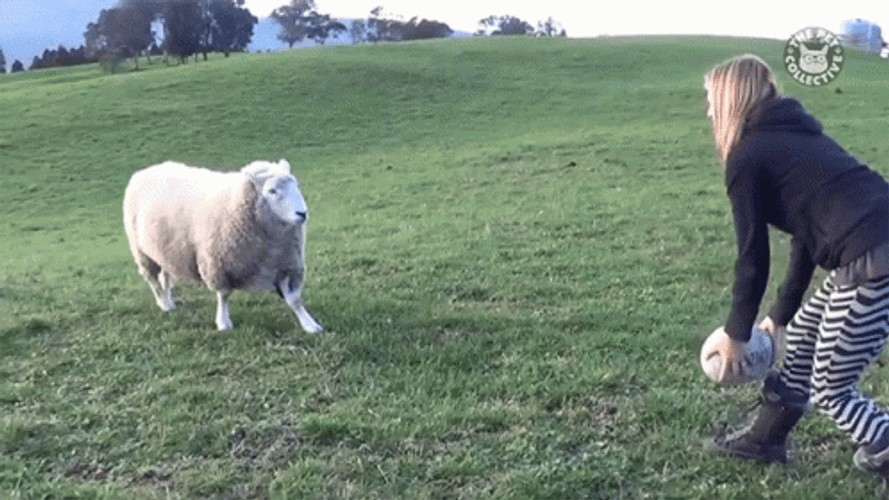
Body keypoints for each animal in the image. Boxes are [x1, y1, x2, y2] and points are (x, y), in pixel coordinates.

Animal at [123, 159, 322, 332]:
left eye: (295, 185)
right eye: (272, 191)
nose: (302, 213)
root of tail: (144, 171)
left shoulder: (287, 263)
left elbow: (294, 300)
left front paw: (310, 325)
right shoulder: (218, 263)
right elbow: (223, 296)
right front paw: (223, 323)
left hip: (164, 251)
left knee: (164, 277)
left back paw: (169, 301)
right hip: (142, 252)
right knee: (153, 280)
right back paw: (164, 303)